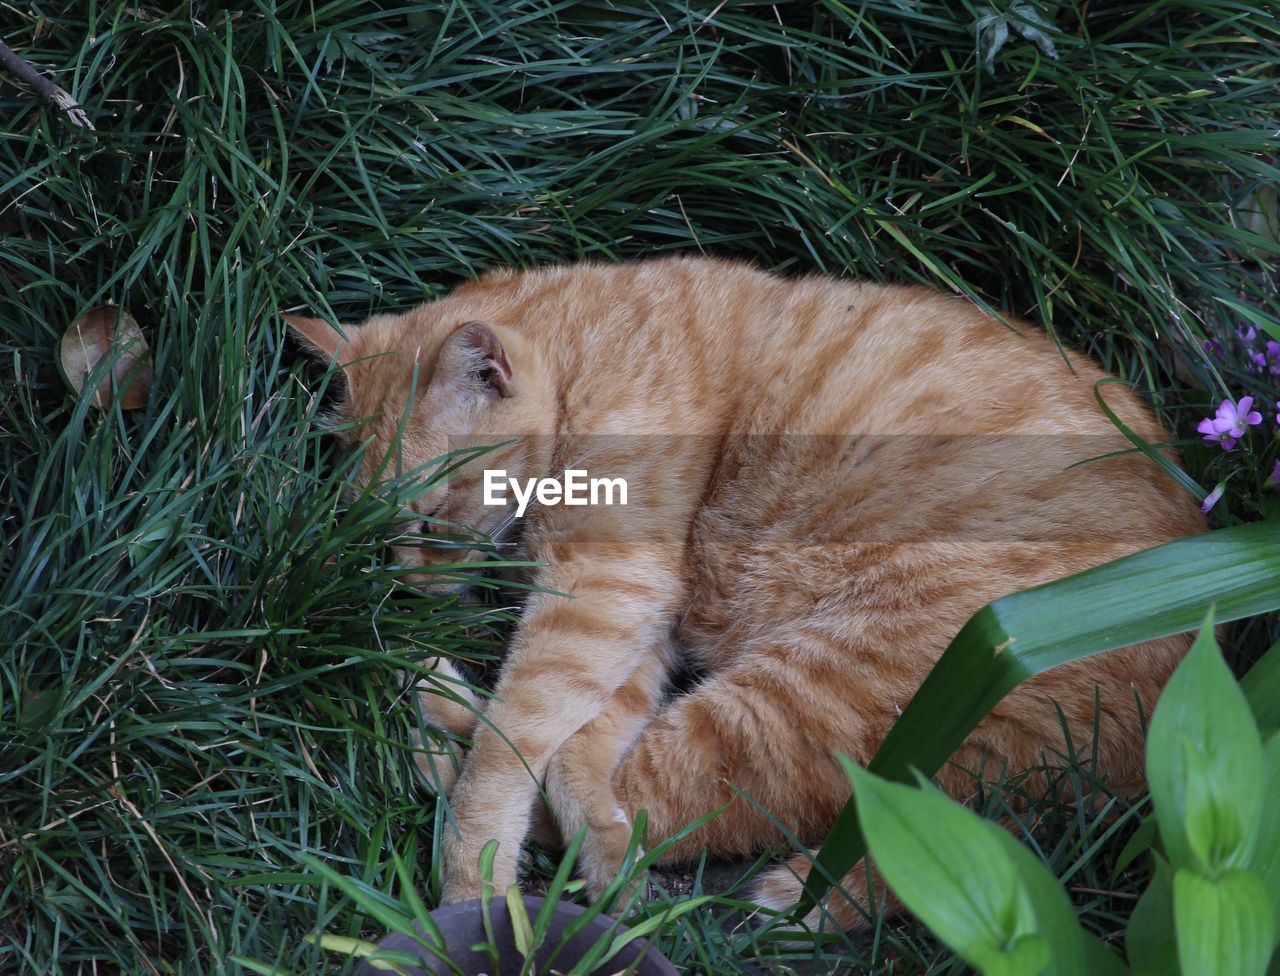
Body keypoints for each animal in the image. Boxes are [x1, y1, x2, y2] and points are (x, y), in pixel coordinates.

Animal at [285, 256, 1203, 927]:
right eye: (373, 528)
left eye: (429, 516)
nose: (407, 590)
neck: (585, 353)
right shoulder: (628, 612)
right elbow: (579, 739)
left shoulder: (604, 584)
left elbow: (519, 752)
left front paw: (473, 887)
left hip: (808, 694)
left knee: (660, 801)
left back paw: (434, 722)